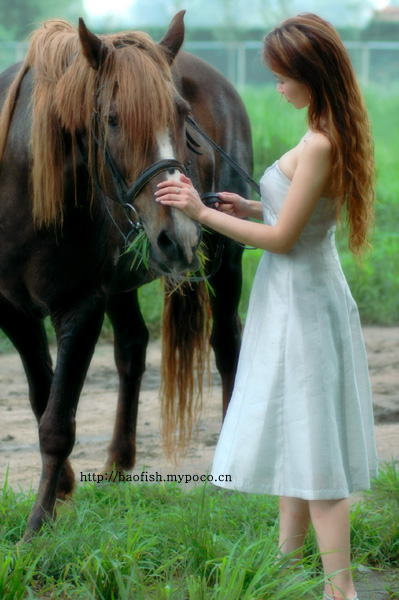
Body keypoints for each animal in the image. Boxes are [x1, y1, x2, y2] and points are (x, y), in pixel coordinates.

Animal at [0, 11, 255, 540]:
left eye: (183, 116)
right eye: (112, 119)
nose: (179, 236)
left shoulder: (80, 307)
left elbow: (58, 422)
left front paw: (37, 526)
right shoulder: (14, 312)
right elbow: (42, 397)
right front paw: (62, 490)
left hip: (227, 260)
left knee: (226, 346)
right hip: (124, 280)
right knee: (133, 350)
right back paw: (117, 466)